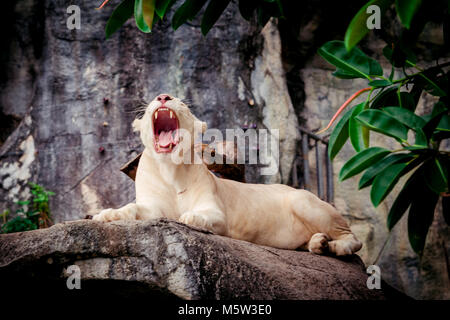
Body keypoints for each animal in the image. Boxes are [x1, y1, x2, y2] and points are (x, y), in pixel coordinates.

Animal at [94, 94, 362, 256]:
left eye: (182, 103)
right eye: (154, 99)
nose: (163, 97)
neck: (170, 167)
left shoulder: (217, 212)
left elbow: (201, 215)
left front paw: (189, 217)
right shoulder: (152, 206)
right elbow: (133, 208)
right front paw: (106, 215)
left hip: (304, 201)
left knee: (353, 238)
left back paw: (334, 246)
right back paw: (318, 243)